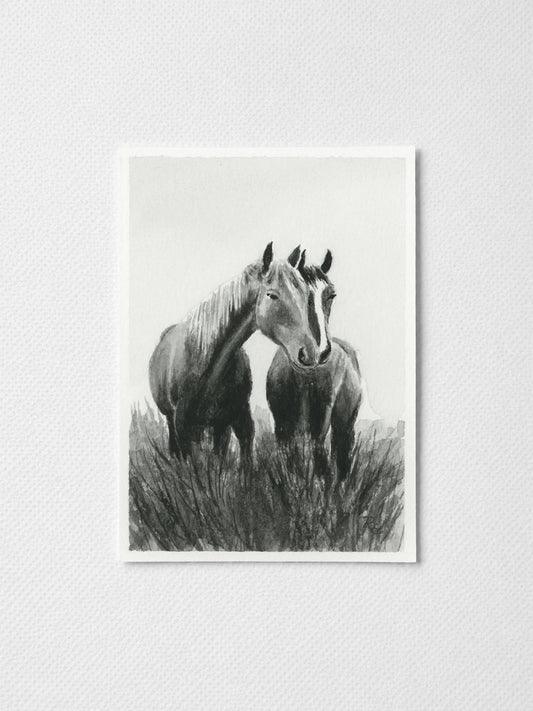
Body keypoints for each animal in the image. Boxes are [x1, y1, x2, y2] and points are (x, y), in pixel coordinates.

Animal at [149, 243, 321, 463]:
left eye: (306, 295)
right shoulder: (186, 431)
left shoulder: (240, 421)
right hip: (173, 421)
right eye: (272, 295)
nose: (309, 353)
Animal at [266, 249, 363, 479]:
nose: (322, 350)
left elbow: (321, 468)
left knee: (340, 459)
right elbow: (289, 465)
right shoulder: (282, 427)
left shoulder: (319, 428)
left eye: (331, 295)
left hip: (344, 424)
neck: (303, 377)